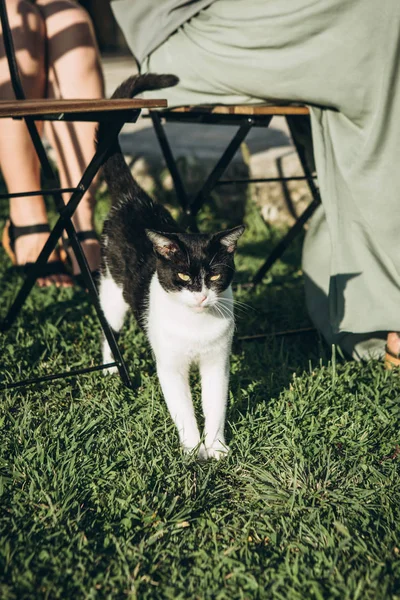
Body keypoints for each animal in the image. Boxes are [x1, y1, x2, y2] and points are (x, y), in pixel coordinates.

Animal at [98, 75, 245, 460]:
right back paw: (109, 368)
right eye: (182, 275)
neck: (195, 324)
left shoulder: (217, 363)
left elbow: (215, 405)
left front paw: (217, 449)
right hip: (112, 289)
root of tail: (133, 197)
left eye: (214, 275)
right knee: (108, 325)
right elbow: (184, 409)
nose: (201, 297)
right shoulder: (170, 365)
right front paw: (194, 452)